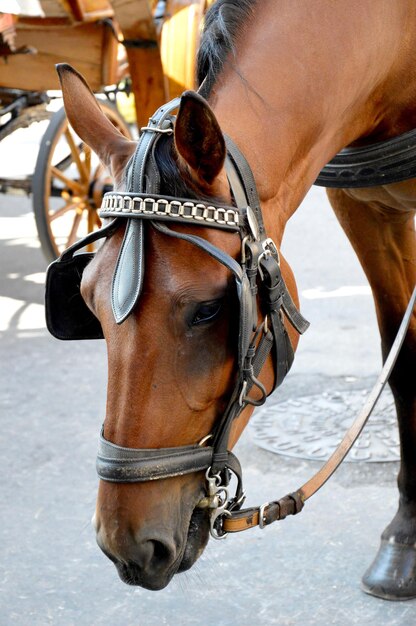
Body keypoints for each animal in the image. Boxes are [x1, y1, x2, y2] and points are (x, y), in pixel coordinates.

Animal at [56, 0, 416, 596]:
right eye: (87, 304)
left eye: (209, 309)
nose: (127, 546)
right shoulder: (362, 207)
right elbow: (404, 361)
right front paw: (407, 532)